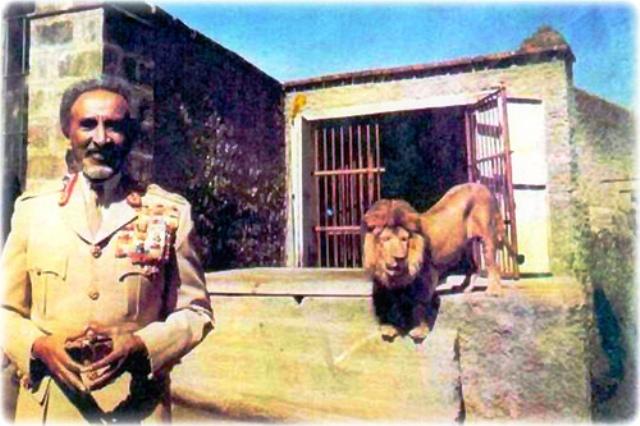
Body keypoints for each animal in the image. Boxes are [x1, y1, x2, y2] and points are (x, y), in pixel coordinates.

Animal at [360, 181, 504, 342]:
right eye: (386, 239)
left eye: (404, 239)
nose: (400, 257)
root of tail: (482, 186)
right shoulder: (382, 283)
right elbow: (387, 305)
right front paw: (388, 327)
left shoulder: (428, 276)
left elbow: (420, 304)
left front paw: (420, 331)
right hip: (465, 245)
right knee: (474, 266)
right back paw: (463, 287)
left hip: (487, 234)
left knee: (493, 264)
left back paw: (493, 291)